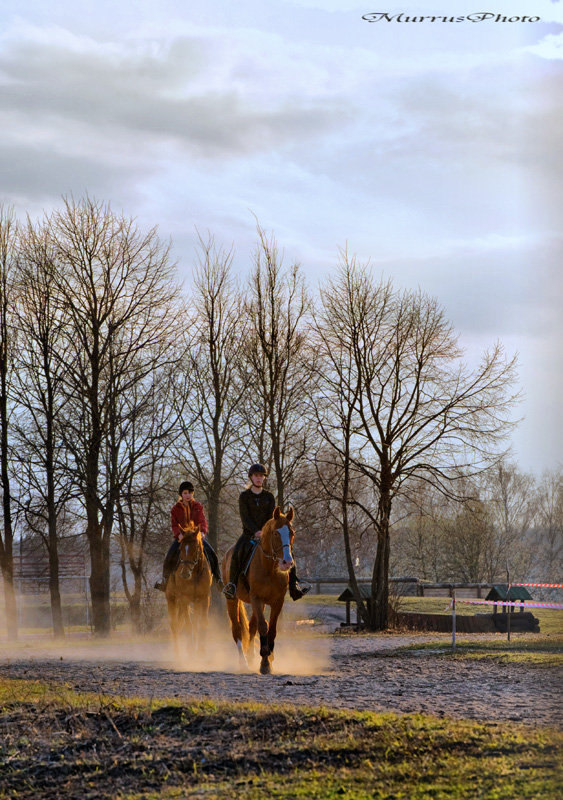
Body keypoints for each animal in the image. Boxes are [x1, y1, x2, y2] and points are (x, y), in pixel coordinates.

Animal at [167, 520, 214, 660]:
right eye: (181, 548)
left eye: (196, 548)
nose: (184, 573)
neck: (195, 574)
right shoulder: (184, 599)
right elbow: (188, 625)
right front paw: (190, 651)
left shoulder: (204, 599)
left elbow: (202, 623)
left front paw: (201, 651)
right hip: (171, 599)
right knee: (174, 625)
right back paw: (177, 653)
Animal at [223, 506, 298, 676]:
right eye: (276, 533)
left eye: (292, 533)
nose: (287, 563)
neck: (270, 569)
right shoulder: (256, 598)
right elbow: (263, 626)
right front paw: (264, 662)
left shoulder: (277, 602)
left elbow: (272, 629)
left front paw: (269, 658)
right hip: (233, 599)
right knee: (237, 629)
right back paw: (243, 663)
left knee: (251, 627)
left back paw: (251, 657)